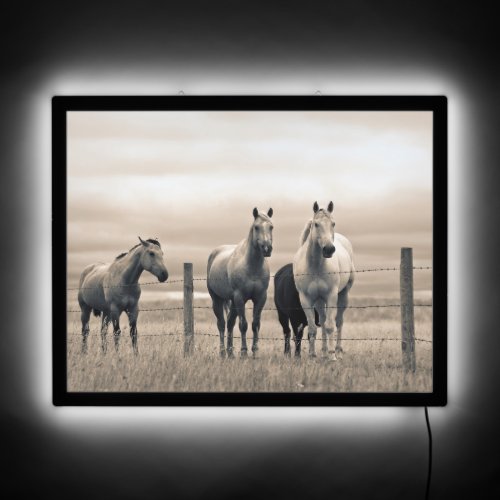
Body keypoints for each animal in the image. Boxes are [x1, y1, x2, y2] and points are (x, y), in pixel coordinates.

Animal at [209, 209, 276, 358]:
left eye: (271, 227)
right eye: (256, 227)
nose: (267, 248)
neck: (252, 267)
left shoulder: (260, 298)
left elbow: (255, 324)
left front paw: (255, 351)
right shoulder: (240, 298)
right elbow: (243, 325)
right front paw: (244, 352)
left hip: (232, 302)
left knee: (230, 323)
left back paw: (230, 352)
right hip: (217, 299)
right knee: (221, 324)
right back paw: (223, 352)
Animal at [292, 202, 356, 360]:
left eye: (333, 223)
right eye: (316, 224)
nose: (329, 249)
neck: (315, 266)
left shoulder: (331, 296)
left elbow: (330, 326)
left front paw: (332, 357)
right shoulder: (306, 299)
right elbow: (313, 328)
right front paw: (312, 355)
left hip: (343, 295)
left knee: (339, 321)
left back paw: (337, 350)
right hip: (319, 300)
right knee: (322, 319)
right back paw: (324, 351)